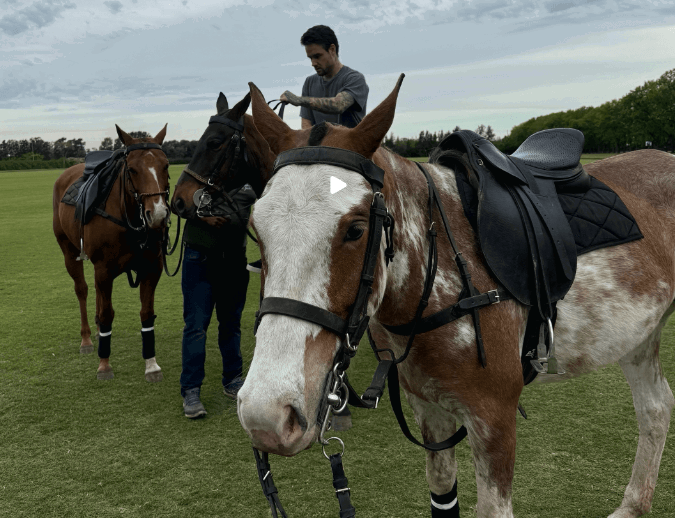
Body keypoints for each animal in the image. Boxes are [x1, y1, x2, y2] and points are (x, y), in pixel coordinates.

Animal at [55, 126, 172, 382]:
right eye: (132, 169)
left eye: (166, 165)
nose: (158, 214)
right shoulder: (104, 268)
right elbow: (108, 312)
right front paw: (104, 365)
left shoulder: (152, 267)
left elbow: (147, 313)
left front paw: (151, 365)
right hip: (69, 251)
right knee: (82, 289)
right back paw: (87, 339)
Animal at [238, 78, 675, 518]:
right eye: (256, 227)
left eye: (356, 229)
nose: (266, 416)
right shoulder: (428, 408)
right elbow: (442, 491)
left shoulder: (495, 418)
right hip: (639, 335)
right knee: (655, 407)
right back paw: (633, 505)